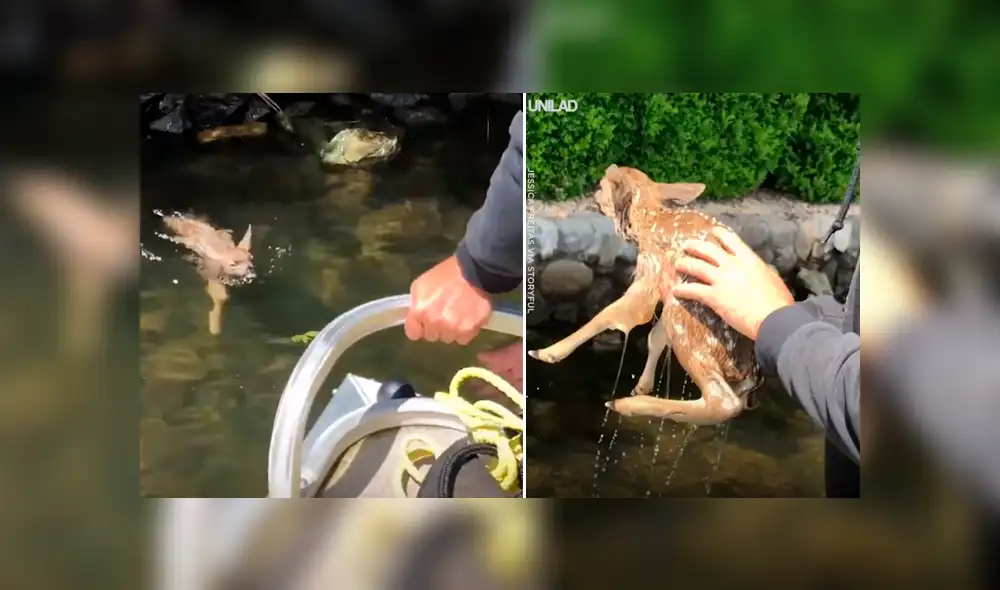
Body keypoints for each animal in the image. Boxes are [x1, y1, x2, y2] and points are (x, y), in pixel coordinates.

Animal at [528, 165, 762, 425]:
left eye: (601, 185)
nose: (592, 194)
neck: (649, 223)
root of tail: (747, 369)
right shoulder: (665, 288)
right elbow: (654, 336)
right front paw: (642, 385)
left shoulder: (651, 273)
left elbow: (613, 314)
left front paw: (546, 352)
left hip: (689, 319)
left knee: (724, 401)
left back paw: (622, 404)